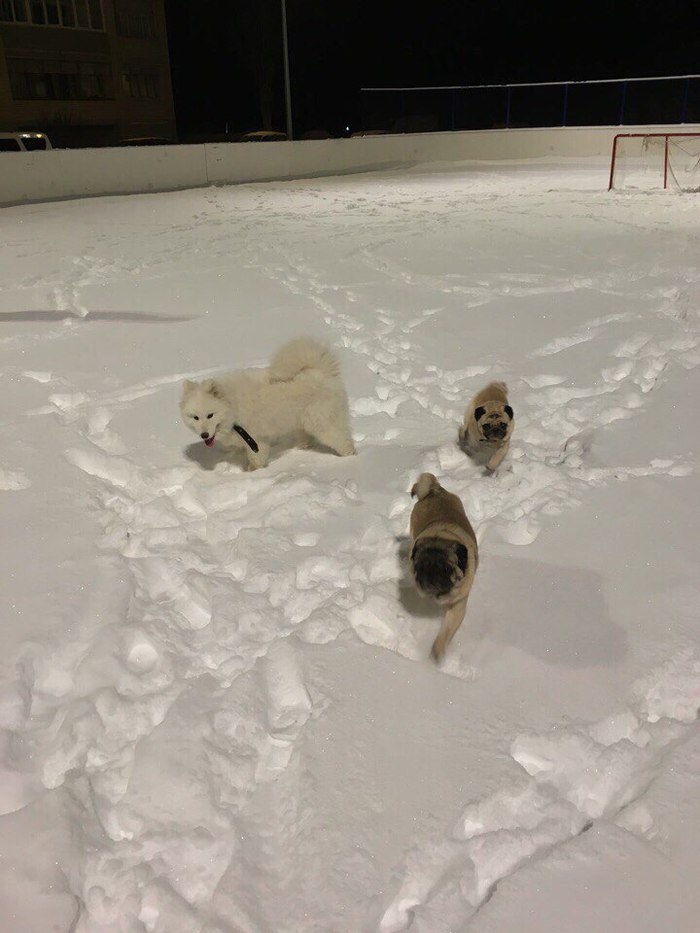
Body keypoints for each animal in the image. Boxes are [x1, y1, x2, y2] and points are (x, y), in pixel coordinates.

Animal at [180, 336, 356, 474]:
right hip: (300, 420)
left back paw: (349, 457)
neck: (232, 406)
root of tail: (320, 372)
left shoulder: (255, 440)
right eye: (195, 418)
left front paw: (252, 472)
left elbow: (256, 460)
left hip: (322, 423)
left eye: (210, 415)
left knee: (342, 439)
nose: (204, 435)